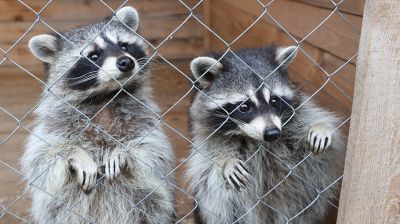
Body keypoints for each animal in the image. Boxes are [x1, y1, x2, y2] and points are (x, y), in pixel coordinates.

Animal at [21, 7, 175, 224]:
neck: (105, 97)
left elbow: (154, 151)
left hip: (149, 205)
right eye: (93, 55)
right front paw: (75, 153)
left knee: (153, 207)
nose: (126, 62)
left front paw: (123, 152)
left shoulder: (143, 118)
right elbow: (42, 158)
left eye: (124, 46)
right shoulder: (55, 122)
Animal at [186, 46, 346, 223]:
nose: (272, 133)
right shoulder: (204, 131)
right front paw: (226, 159)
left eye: (274, 101)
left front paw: (320, 127)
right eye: (244, 107)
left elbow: (310, 126)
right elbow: (206, 158)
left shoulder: (291, 121)